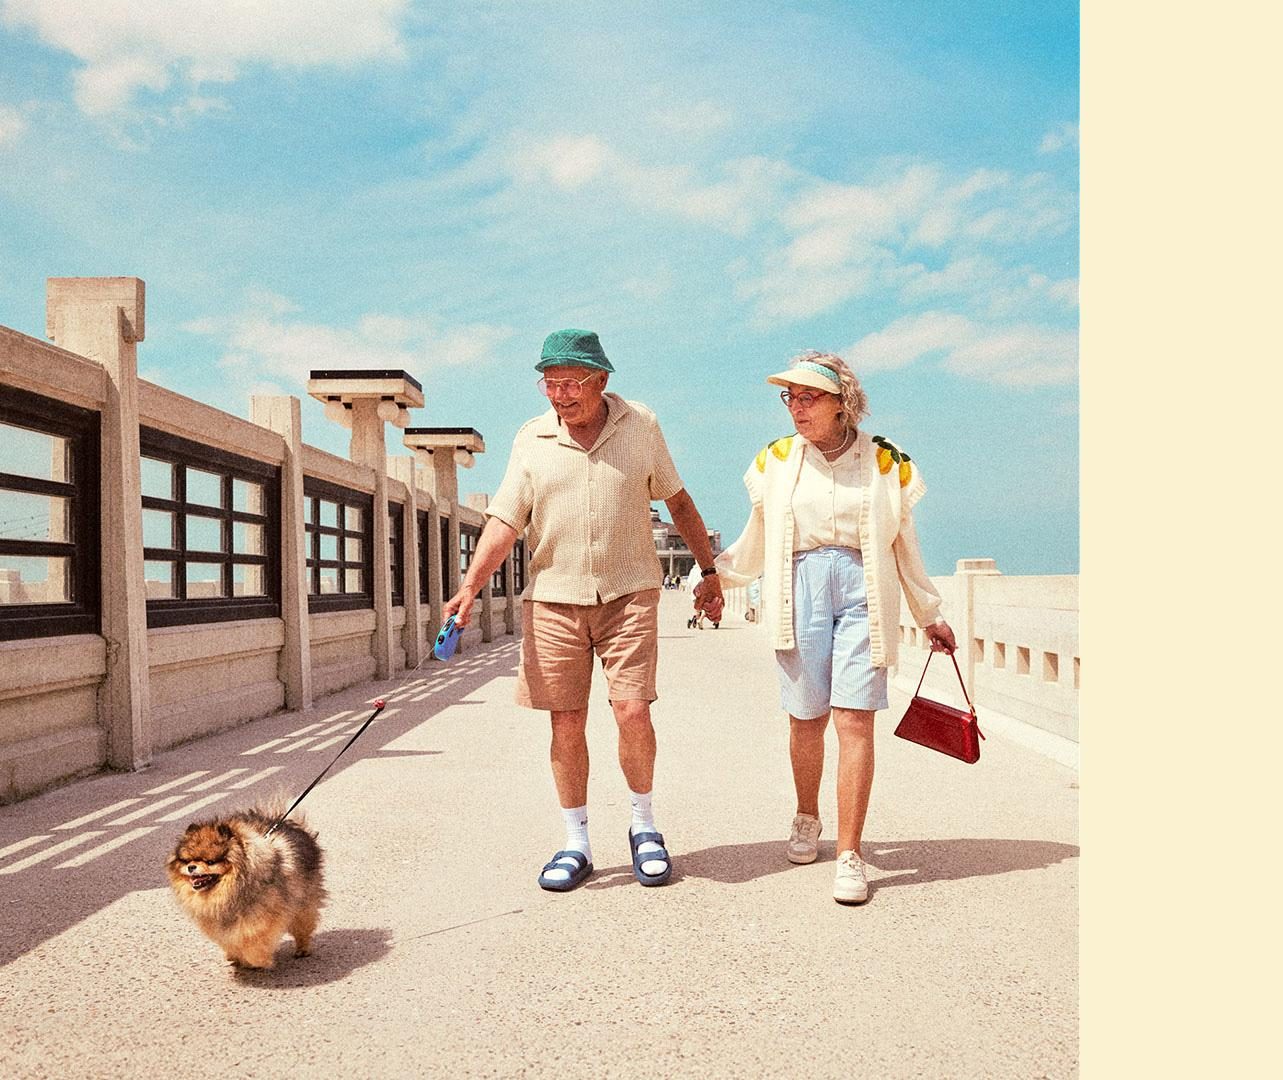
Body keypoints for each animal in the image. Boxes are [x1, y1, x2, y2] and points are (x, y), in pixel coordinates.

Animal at [164, 800, 325, 969]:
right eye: (187, 860)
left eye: (210, 862)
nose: (191, 867)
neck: (230, 891)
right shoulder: (222, 926)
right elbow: (231, 940)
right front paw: (234, 955)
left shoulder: (263, 918)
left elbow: (254, 942)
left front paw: (259, 960)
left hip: (302, 903)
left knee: (303, 926)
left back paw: (302, 949)